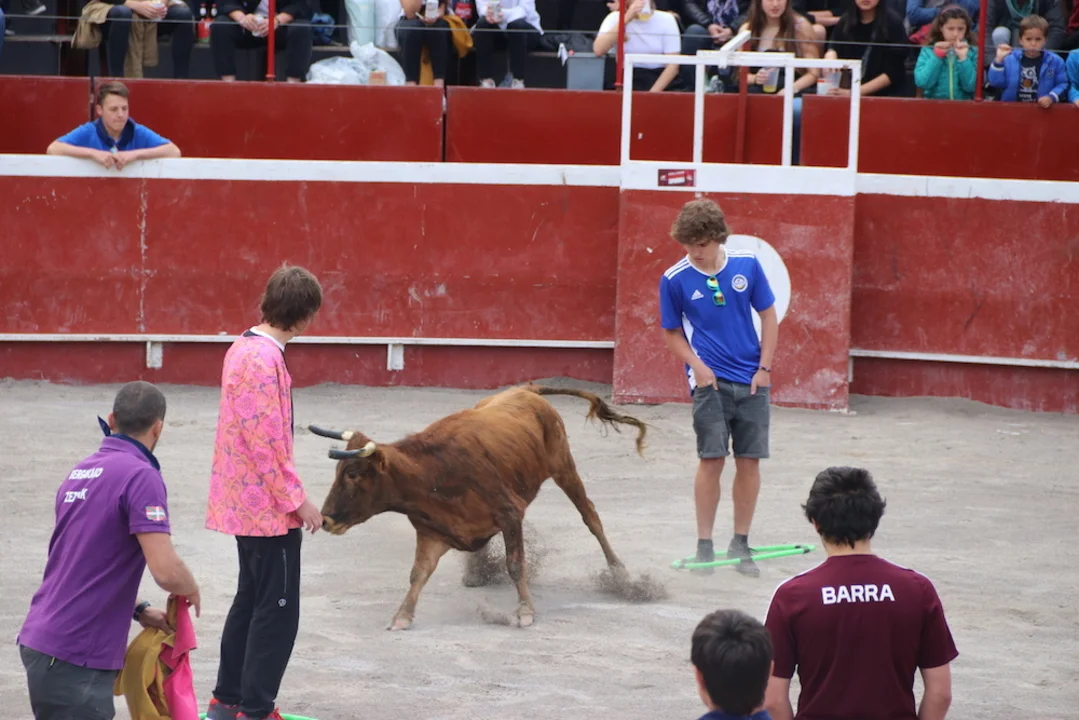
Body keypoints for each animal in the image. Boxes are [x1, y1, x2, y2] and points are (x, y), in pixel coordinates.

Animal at [307, 383, 648, 631]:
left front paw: (525, 611)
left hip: (564, 465)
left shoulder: (510, 515)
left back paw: (619, 573)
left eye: (352, 474)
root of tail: (527, 389)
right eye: (338, 472)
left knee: (590, 515)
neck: (430, 474)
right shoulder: (432, 531)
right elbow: (418, 573)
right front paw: (402, 616)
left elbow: (515, 564)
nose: (325, 520)